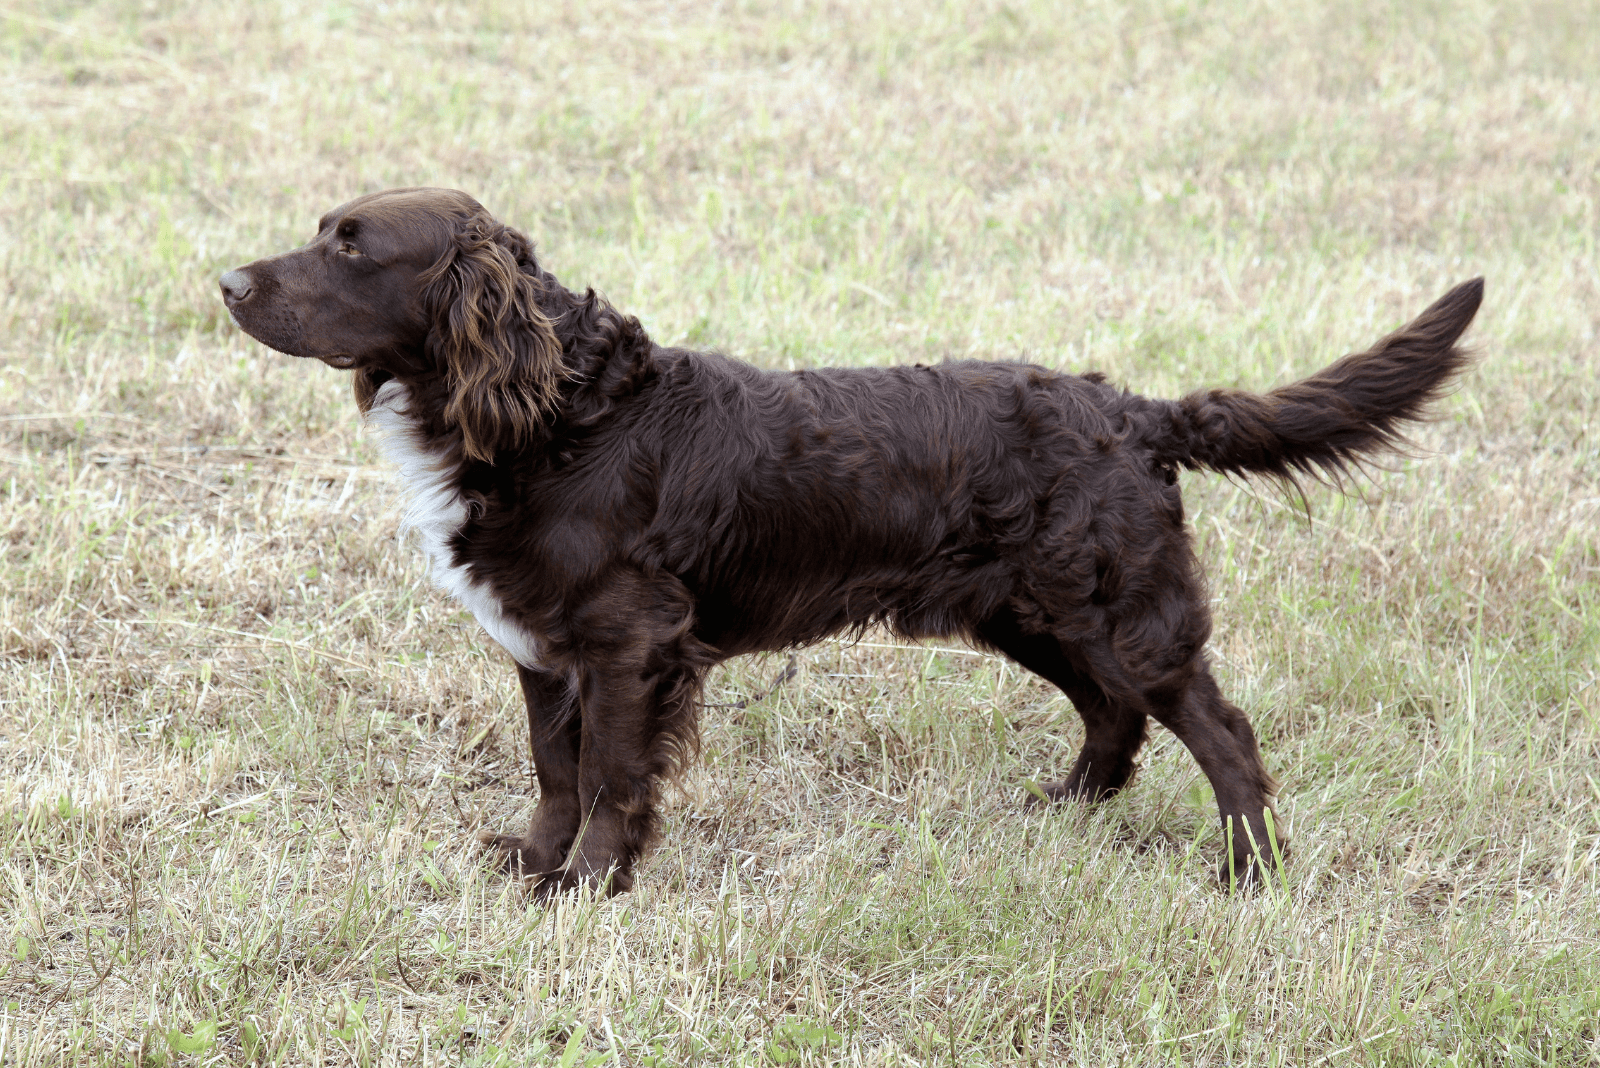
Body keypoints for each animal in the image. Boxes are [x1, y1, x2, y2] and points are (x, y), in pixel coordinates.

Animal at [219, 187, 1478, 895]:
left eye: (352, 248)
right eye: (322, 232)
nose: (225, 279)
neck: (562, 413)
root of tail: (1129, 411)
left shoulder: (630, 646)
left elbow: (613, 777)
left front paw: (587, 888)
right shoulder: (541, 649)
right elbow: (553, 772)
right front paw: (533, 864)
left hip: (1118, 609)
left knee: (1222, 734)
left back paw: (1248, 875)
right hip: (1031, 612)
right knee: (1113, 715)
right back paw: (1065, 808)